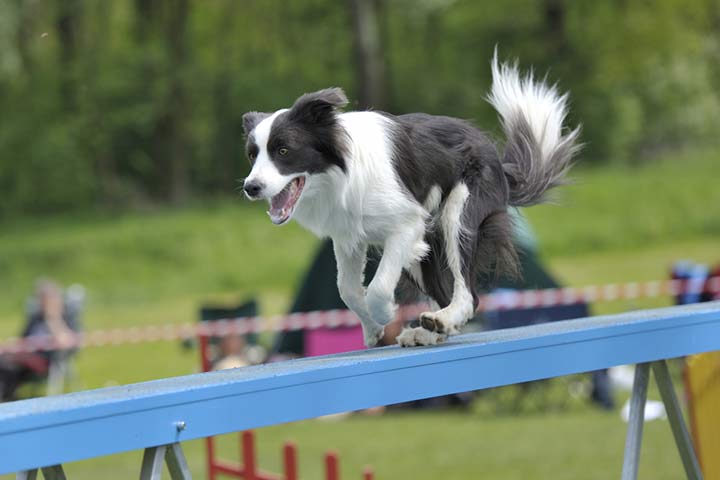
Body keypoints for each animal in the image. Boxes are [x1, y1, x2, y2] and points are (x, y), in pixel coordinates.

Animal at [242, 55, 580, 348]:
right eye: (252, 155)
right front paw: (372, 329)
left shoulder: (406, 225)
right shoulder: (348, 237)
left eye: (283, 150)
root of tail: (497, 158)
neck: (339, 171)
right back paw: (431, 330)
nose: (250, 187)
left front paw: (384, 314)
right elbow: (347, 289)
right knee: (445, 293)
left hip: (457, 214)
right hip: (425, 249)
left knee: (468, 294)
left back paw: (441, 321)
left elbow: (378, 287)